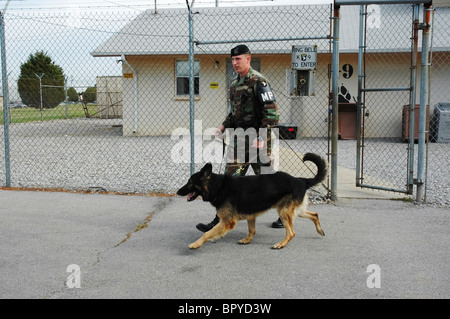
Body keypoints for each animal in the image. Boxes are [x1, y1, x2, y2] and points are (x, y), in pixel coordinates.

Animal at [177, 153, 326, 250]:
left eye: (190, 182)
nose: (178, 192)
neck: (218, 186)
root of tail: (300, 180)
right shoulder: (250, 215)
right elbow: (251, 230)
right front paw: (248, 240)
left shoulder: (228, 221)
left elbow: (208, 233)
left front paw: (196, 244)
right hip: (295, 210)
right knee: (315, 215)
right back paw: (320, 231)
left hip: (284, 212)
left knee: (291, 233)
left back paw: (281, 244)